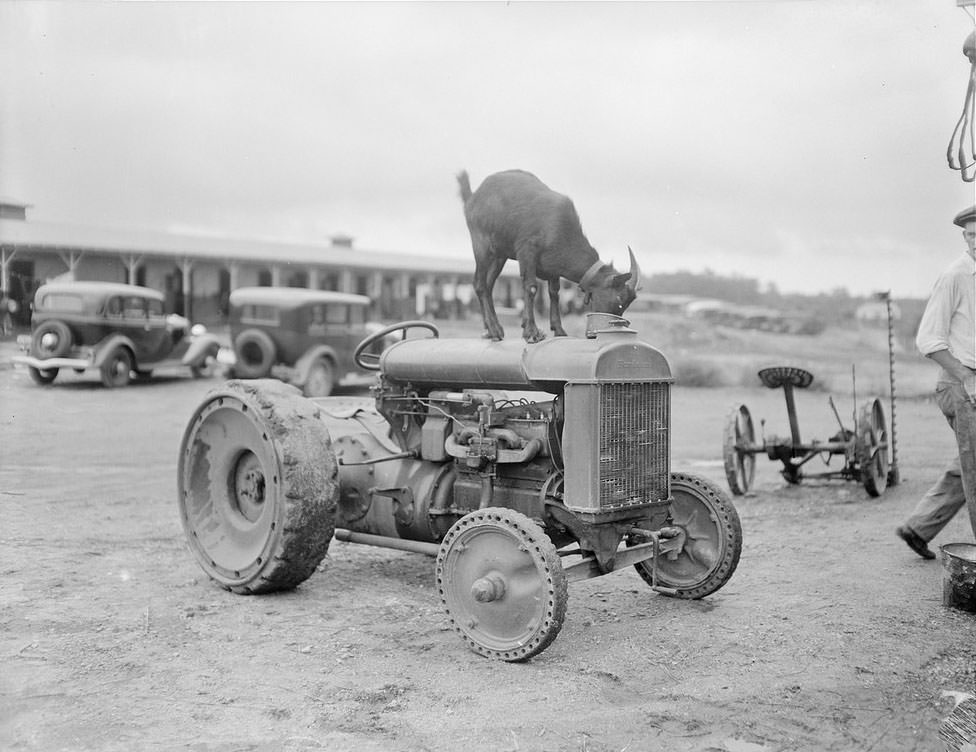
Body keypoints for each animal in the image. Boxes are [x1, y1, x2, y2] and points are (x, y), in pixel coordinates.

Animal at [458, 169, 640, 342]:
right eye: (619, 300)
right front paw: (532, 332)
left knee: (489, 286)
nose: (610, 326)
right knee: (480, 284)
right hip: (481, 246)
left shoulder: (553, 268)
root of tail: (472, 198)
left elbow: (554, 293)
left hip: (499, 256)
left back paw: (491, 330)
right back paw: (494, 330)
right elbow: (531, 287)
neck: (558, 228)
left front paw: (559, 330)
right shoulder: (527, 251)